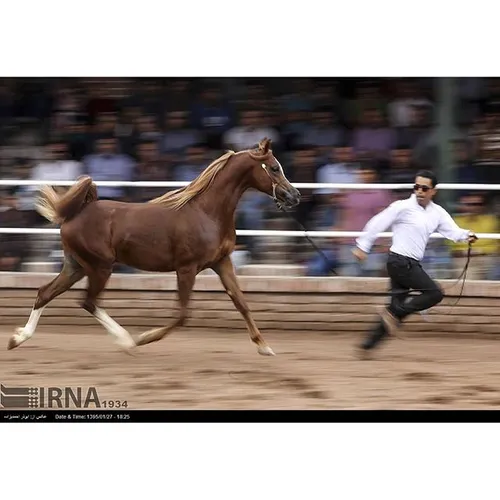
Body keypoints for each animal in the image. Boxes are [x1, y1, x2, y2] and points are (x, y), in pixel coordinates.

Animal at [8, 137, 300, 356]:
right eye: (274, 167)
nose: (294, 196)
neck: (206, 212)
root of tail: (73, 215)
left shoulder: (222, 262)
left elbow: (241, 302)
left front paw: (264, 346)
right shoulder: (187, 268)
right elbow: (182, 314)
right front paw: (144, 338)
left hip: (76, 266)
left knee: (45, 293)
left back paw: (18, 338)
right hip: (100, 267)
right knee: (88, 302)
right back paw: (126, 340)